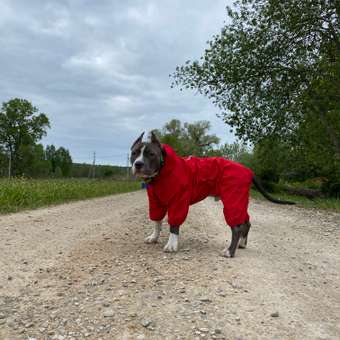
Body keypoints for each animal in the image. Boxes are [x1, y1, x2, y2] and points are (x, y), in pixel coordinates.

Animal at [130, 131, 294, 256]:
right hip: (239, 200)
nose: (138, 164)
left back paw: (229, 252)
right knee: (246, 222)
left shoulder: (178, 202)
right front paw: (154, 237)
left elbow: (174, 225)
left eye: (151, 154)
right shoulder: (156, 202)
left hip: (232, 200)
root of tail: (248, 170)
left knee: (237, 227)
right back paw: (241, 244)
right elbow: (156, 221)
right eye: (134, 153)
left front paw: (171, 245)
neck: (162, 173)